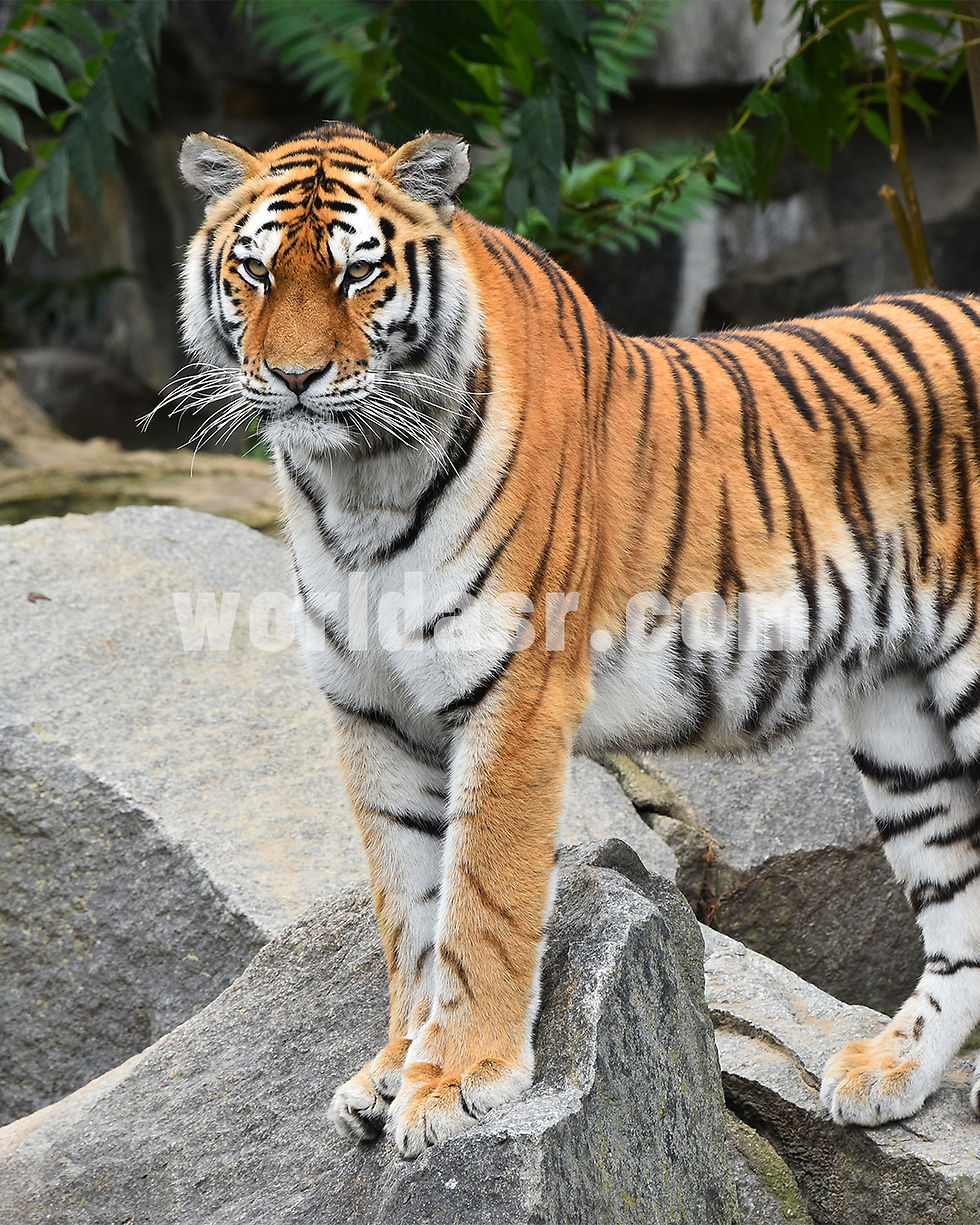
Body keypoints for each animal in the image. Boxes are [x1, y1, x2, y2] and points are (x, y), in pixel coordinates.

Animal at [176, 119, 980, 1159]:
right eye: (256, 271)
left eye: (358, 273)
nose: (296, 378)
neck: (358, 483)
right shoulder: (369, 710)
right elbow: (408, 907)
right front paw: (394, 1067)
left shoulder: (514, 691)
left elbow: (483, 895)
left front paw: (460, 1079)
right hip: (903, 727)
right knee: (964, 914)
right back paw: (890, 1071)